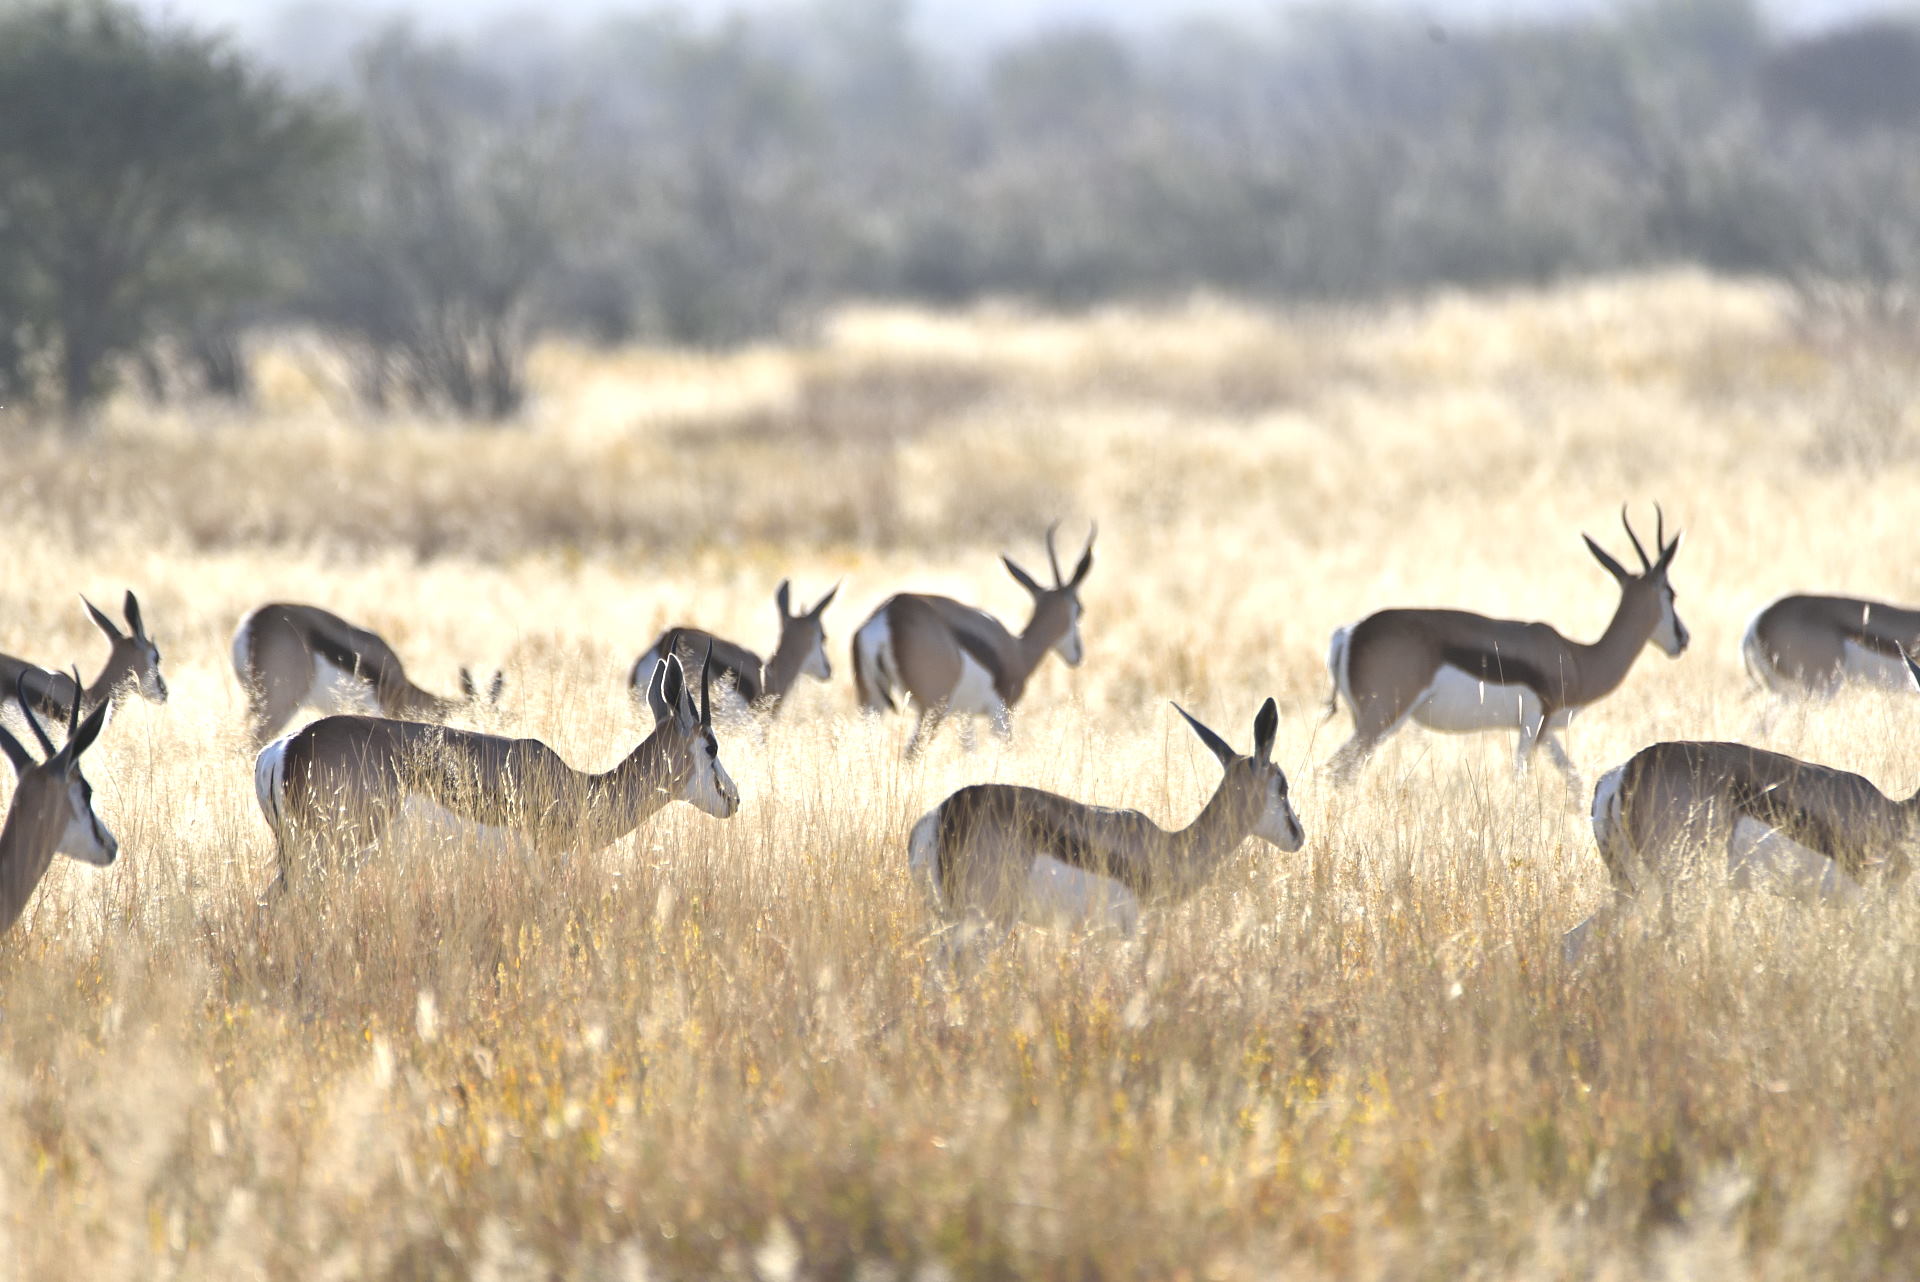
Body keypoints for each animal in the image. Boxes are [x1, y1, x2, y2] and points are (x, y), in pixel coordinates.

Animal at [853, 523, 1095, 757]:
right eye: (1080, 609)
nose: (1078, 654)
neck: (1018, 651)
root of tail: (891, 613)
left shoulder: (965, 715)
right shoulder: (1001, 714)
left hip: (872, 704)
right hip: (931, 709)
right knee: (911, 753)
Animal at [908, 697, 1303, 953]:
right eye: (1282, 787)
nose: (1298, 835)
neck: (1168, 847)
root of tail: (942, 815)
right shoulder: (1124, 933)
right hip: (984, 926)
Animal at [1326, 506, 1687, 792]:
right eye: (1671, 593)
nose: (1683, 639)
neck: (1575, 658)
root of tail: (1351, 632)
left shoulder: (1547, 731)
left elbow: (1574, 780)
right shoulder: (1534, 724)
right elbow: (1521, 781)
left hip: (1365, 720)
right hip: (1382, 719)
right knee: (1337, 770)